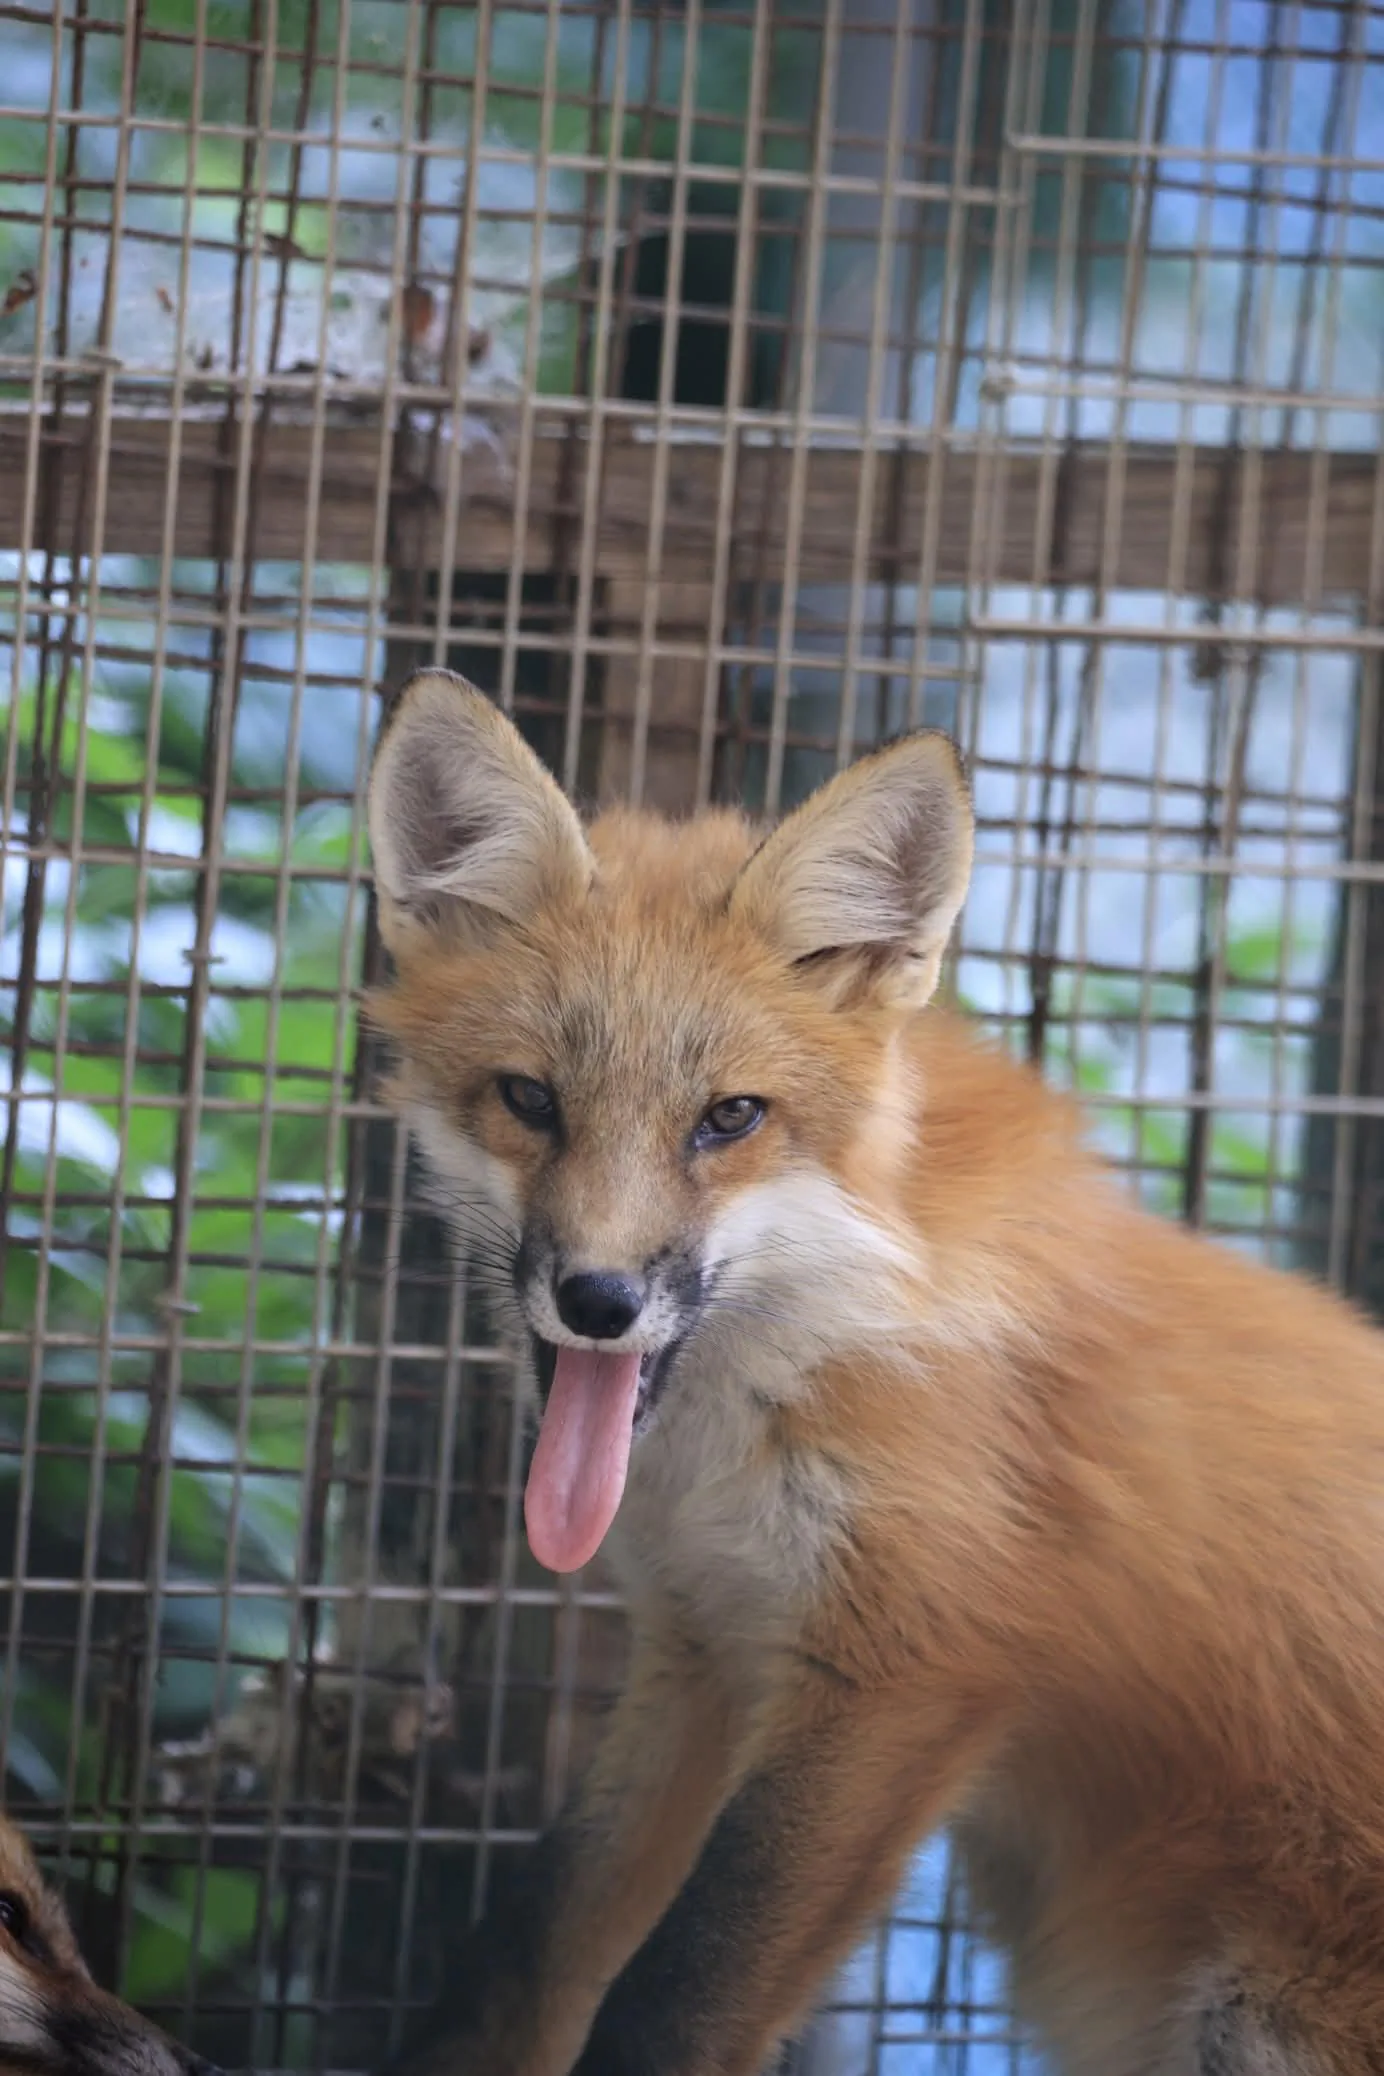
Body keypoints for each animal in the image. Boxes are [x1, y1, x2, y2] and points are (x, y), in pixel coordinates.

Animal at [365, 665, 1384, 2076]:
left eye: (728, 1120)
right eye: (530, 1100)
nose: (597, 1302)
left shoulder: (903, 1672)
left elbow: (677, 1997)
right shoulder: (701, 1652)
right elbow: (530, 1943)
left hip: (1257, 2020)